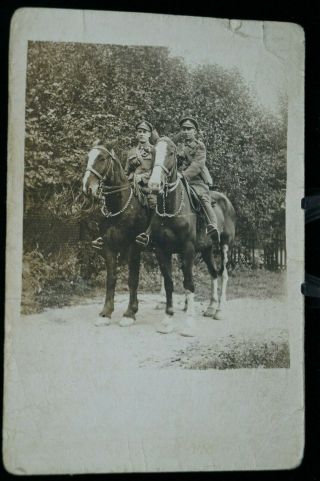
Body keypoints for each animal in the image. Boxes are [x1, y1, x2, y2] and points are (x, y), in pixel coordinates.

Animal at [81, 143, 149, 326]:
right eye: (88, 157)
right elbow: (111, 279)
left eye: (102, 158)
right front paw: (106, 313)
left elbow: (132, 280)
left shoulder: (134, 247)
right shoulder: (109, 246)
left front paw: (129, 314)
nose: (87, 188)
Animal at [148, 137, 235, 336]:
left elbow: (189, 284)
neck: (170, 209)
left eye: (171, 153)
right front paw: (167, 320)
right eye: (153, 151)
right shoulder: (161, 250)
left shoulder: (187, 250)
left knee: (224, 274)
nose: (154, 185)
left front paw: (188, 325)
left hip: (224, 245)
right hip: (207, 249)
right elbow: (169, 283)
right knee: (213, 273)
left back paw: (219, 310)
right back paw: (211, 307)